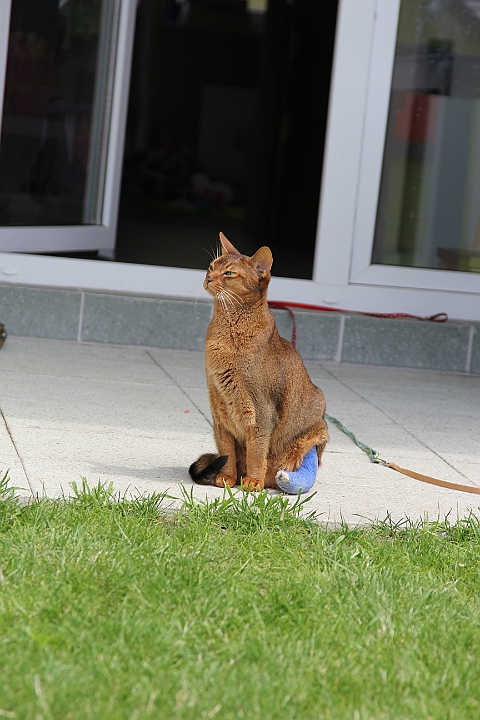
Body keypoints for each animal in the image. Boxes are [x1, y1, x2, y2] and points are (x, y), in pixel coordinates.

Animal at [189, 232, 328, 491]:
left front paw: (253, 481)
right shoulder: (219, 408)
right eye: (211, 266)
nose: (207, 277)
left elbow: (257, 450)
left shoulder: (262, 412)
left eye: (229, 273)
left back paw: (279, 478)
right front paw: (227, 477)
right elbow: (226, 448)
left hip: (314, 430)